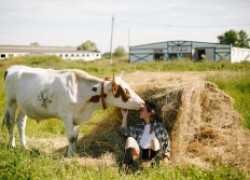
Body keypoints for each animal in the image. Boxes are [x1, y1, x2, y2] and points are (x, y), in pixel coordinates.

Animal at [2, 66, 145, 155]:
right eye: (125, 91)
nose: (142, 103)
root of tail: (12, 69)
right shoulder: (67, 115)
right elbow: (71, 137)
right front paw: (70, 154)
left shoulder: (77, 118)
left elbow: (75, 136)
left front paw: (75, 152)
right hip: (11, 102)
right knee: (10, 123)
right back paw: (12, 145)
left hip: (24, 105)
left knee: (21, 123)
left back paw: (24, 146)